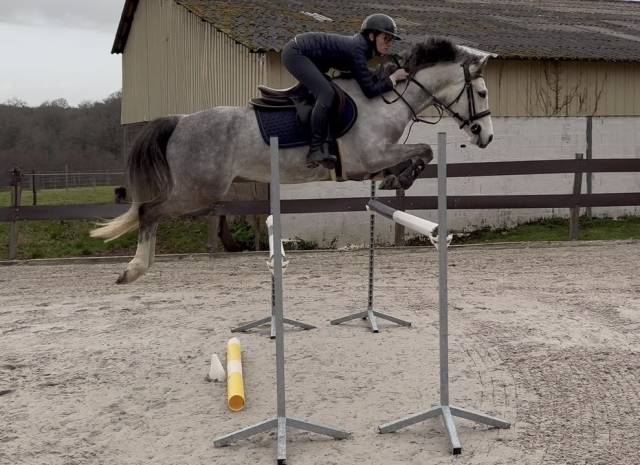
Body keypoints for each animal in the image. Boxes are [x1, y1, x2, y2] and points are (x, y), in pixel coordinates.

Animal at [91, 38, 494, 284]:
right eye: (481, 91)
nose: (486, 137)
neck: (383, 102)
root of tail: (179, 120)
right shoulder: (367, 159)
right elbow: (424, 150)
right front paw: (403, 177)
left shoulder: (371, 163)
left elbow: (417, 156)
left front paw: (398, 179)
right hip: (198, 191)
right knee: (149, 211)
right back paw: (134, 268)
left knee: (151, 212)